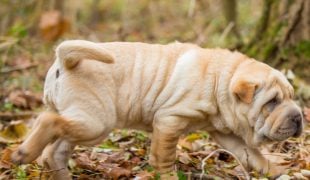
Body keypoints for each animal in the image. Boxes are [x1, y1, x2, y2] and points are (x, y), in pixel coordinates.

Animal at [11, 40, 302, 179]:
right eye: (272, 103)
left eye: (291, 97)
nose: (299, 117)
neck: (220, 77)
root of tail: (65, 61)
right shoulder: (169, 120)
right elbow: (164, 156)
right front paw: (168, 176)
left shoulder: (226, 134)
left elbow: (252, 156)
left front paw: (277, 172)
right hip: (97, 122)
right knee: (47, 121)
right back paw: (23, 153)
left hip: (85, 120)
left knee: (54, 151)